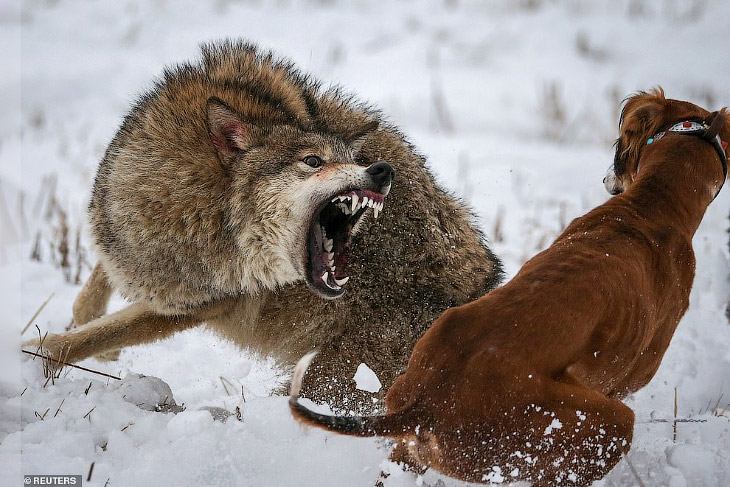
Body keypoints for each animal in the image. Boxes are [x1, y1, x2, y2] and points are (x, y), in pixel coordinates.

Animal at [22, 40, 500, 410]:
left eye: (353, 159)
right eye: (314, 161)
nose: (382, 171)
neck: (199, 211)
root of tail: (485, 289)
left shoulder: (194, 305)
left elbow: (81, 339)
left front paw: (31, 359)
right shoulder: (125, 243)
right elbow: (91, 298)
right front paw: (93, 338)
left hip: (333, 378)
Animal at [288, 89, 724, 486]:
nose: (607, 179)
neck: (650, 207)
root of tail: (427, 403)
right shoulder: (632, 376)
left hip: (414, 441)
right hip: (602, 425)